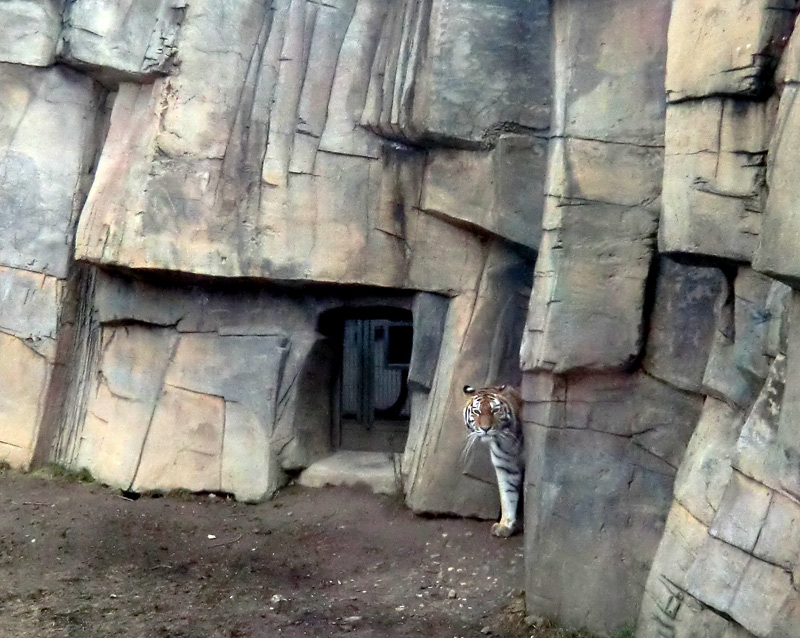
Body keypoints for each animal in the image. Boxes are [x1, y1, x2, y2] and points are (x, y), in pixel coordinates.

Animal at [462, 384, 524, 540]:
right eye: (477, 411)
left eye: (495, 410)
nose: (485, 428)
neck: (506, 442)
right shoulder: (506, 467)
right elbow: (508, 495)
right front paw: (505, 525)